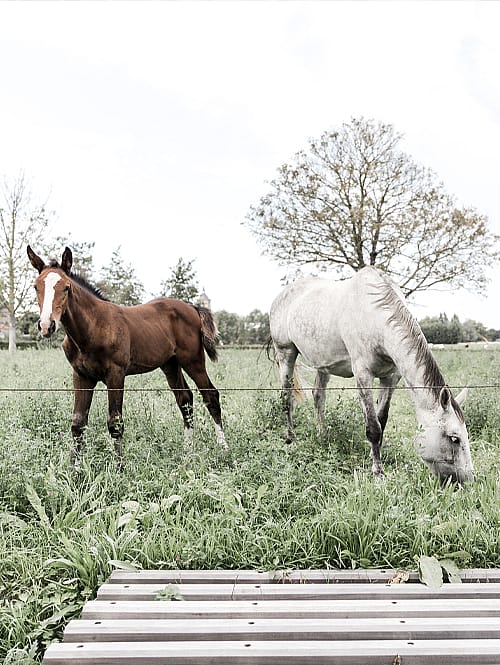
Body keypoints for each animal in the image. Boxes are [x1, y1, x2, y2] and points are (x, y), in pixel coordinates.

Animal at [27, 245, 226, 467]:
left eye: (67, 287)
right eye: (36, 287)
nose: (47, 325)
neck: (93, 328)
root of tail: (192, 307)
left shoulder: (116, 374)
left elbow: (115, 422)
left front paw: (119, 467)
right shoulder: (81, 376)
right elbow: (78, 423)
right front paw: (74, 468)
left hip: (193, 361)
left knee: (210, 396)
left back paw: (223, 449)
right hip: (170, 365)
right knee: (185, 400)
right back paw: (188, 452)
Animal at [269, 267, 474, 485]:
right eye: (454, 438)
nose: (468, 481)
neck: (375, 317)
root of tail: (281, 296)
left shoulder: (390, 378)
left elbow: (381, 420)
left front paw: (373, 456)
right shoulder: (363, 375)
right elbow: (373, 427)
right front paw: (378, 471)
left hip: (322, 364)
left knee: (318, 397)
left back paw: (322, 435)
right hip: (286, 353)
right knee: (287, 398)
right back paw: (291, 438)